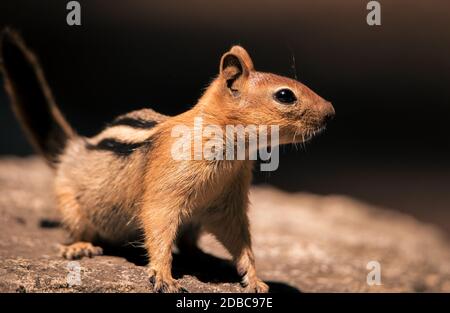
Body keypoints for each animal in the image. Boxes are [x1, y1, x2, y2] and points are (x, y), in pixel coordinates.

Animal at [0, 29, 334, 292]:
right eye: (285, 95)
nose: (331, 112)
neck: (230, 148)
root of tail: (74, 149)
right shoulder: (167, 190)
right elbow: (158, 222)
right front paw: (163, 275)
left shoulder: (229, 201)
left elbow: (240, 238)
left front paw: (253, 277)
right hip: (71, 203)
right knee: (76, 229)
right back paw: (80, 247)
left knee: (189, 242)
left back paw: (206, 257)